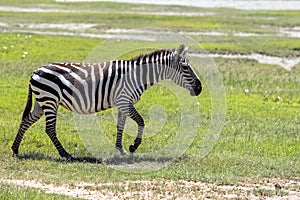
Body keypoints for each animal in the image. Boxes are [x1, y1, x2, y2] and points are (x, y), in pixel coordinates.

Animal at [11, 43, 202, 159]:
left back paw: (15, 149)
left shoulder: (122, 103)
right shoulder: (124, 100)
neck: (136, 77)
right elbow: (141, 121)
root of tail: (35, 71)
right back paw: (65, 154)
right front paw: (133, 146)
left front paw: (121, 149)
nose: (200, 88)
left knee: (26, 120)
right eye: (185, 67)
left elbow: (120, 126)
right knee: (50, 129)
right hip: (50, 100)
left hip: (41, 101)